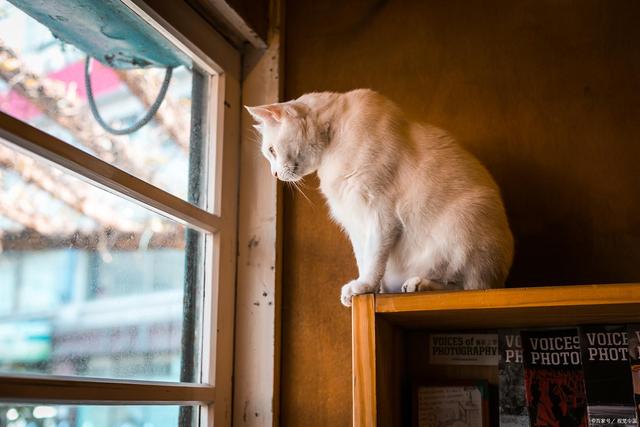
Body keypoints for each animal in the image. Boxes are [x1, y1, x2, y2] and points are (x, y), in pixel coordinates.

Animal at [246, 88, 516, 306]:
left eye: (271, 150)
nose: (274, 173)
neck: (332, 143)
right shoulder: (355, 223)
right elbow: (364, 258)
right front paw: (375, 291)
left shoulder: (380, 214)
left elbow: (374, 258)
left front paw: (363, 287)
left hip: (465, 225)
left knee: (469, 286)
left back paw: (420, 284)